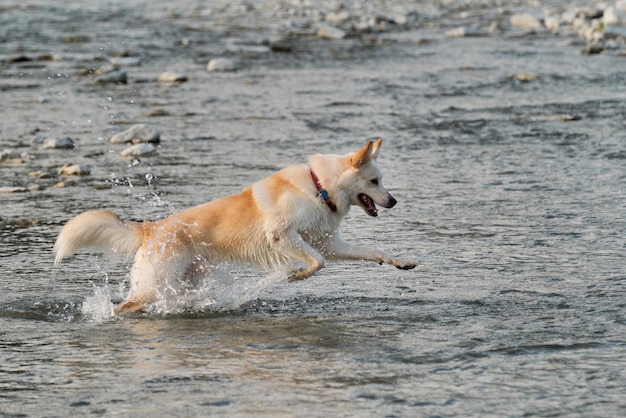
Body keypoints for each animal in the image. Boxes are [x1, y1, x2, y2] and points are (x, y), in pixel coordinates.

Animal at [53, 139, 414, 316]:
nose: (394, 201)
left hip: (181, 282)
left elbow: (371, 251)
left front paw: (400, 262)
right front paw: (295, 275)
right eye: (374, 181)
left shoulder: (328, 242)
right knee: (126, 305)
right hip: (154, 285)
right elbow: (317, 262)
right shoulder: (283, 235)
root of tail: (150, 229)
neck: (319, 187)